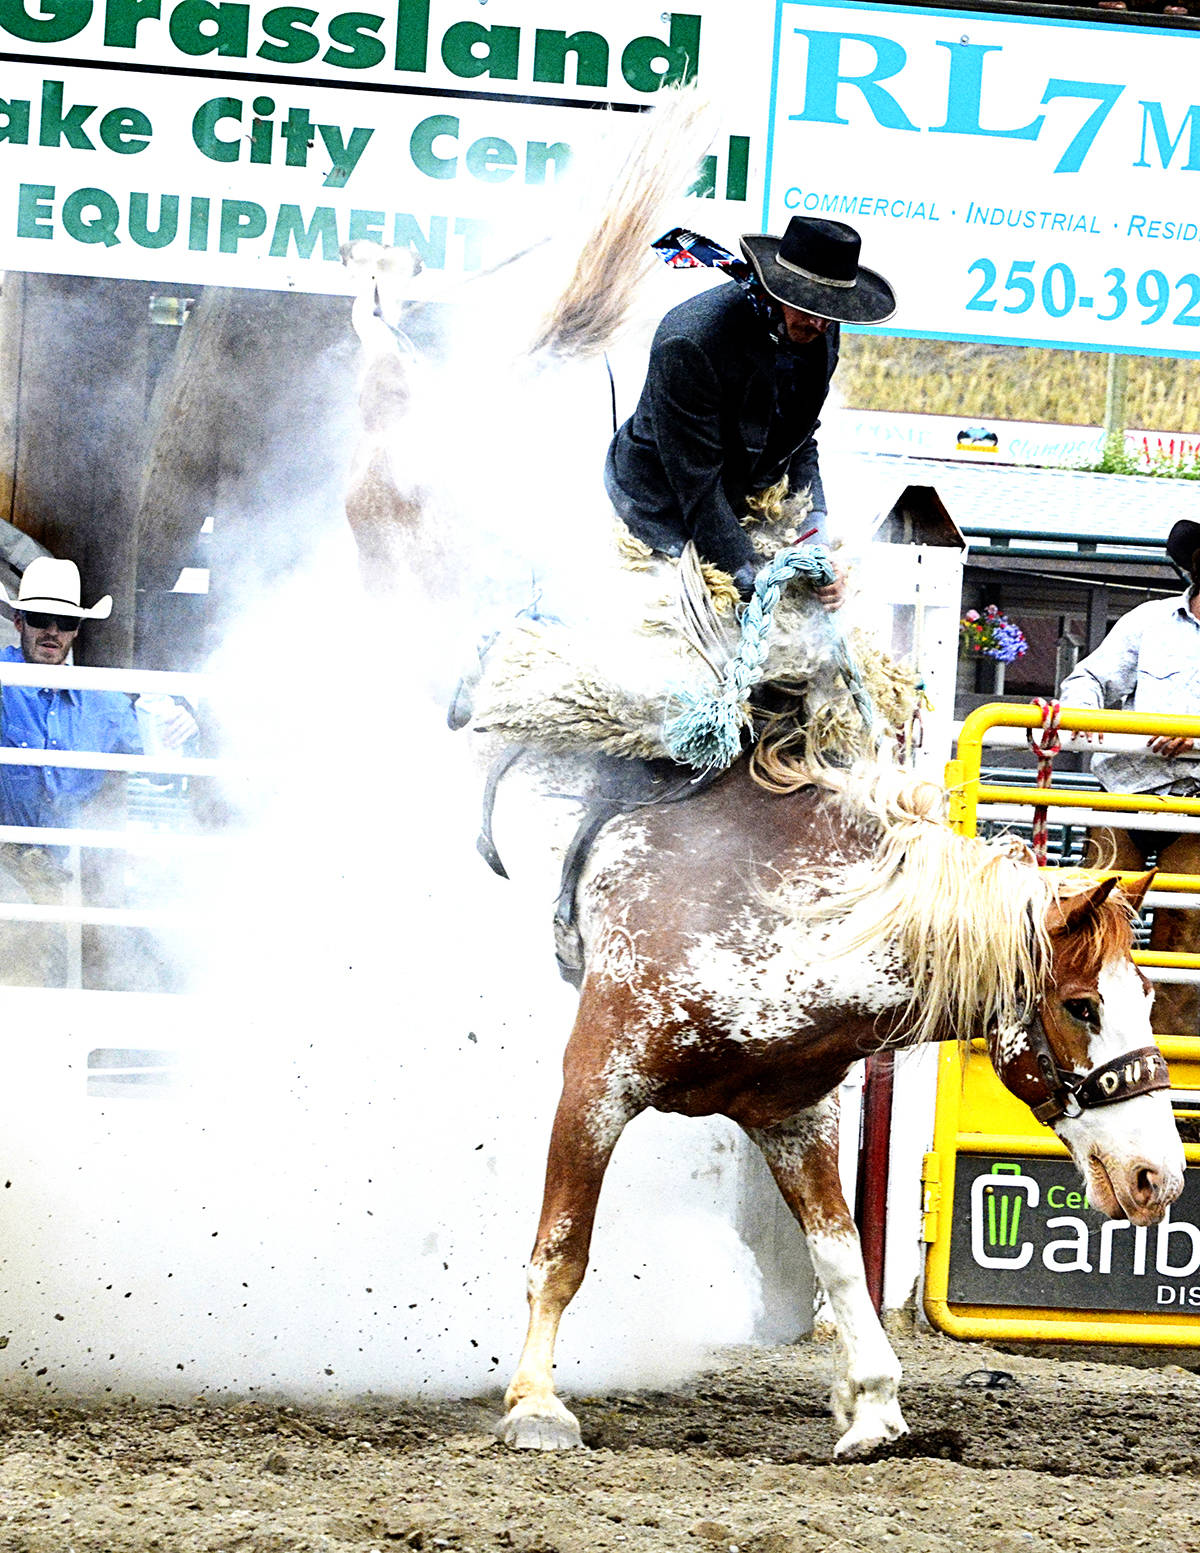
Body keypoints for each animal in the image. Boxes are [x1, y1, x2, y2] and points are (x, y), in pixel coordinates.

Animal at [493, 770, 1179, 1459]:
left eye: (1149, 997)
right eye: (1081, 1006)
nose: (1161, 1178)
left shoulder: (792, 1116)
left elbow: (842, 1258)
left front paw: (874, 1407)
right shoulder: (596, 1087)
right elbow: (563, 1249)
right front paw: (537, 1406)